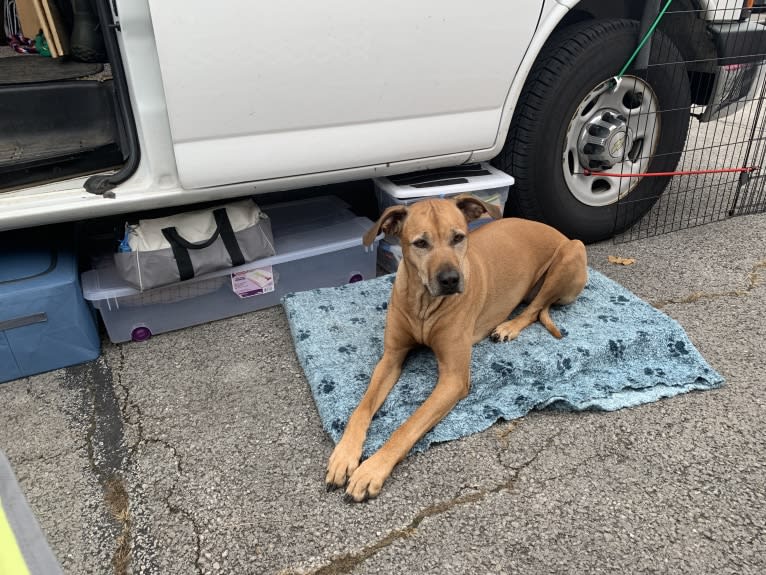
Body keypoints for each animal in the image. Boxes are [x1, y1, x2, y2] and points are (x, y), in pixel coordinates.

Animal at [326, 196, 588, 502]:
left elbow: (407, 426)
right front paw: (344, 455)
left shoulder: (453, 379)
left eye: (458, 237)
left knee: (535, 309)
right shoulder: (391, 357)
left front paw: (371, 469)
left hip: (571, 252)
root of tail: (558, 232)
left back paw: (508, 327)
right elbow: (361, 408)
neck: (424, 304)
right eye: (420, 243)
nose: (450, 279)